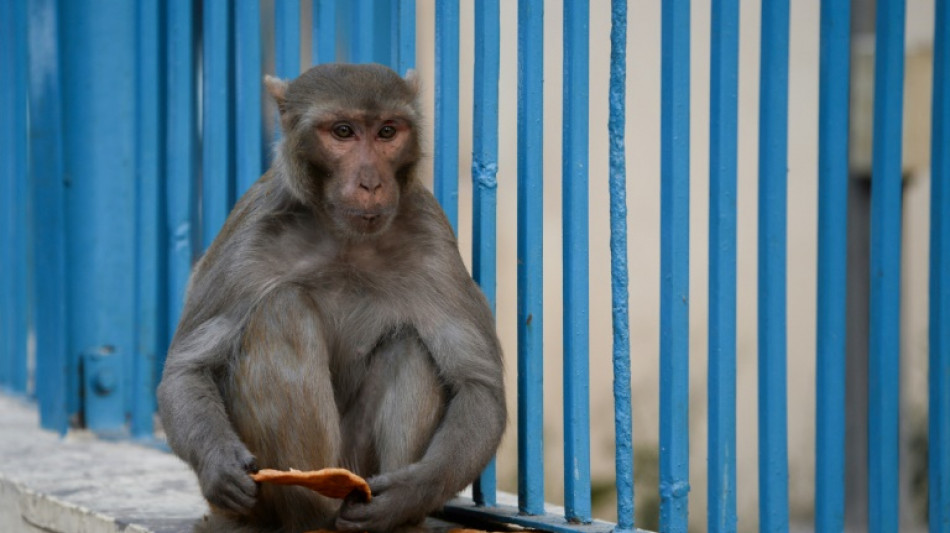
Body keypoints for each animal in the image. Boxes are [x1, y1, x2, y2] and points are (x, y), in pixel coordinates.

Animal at [156, 63, 506, 533]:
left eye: (387, 131)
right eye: (343, 131)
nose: (371, 182)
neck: (346, 239)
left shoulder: (433, 237)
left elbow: (479, 386)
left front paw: (407, 493)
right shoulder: (249, 236)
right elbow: (186, 370)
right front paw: (219, 466)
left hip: (358, 462)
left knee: (411, 345)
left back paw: (392, 519)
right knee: (282, 310)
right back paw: (307, 510)